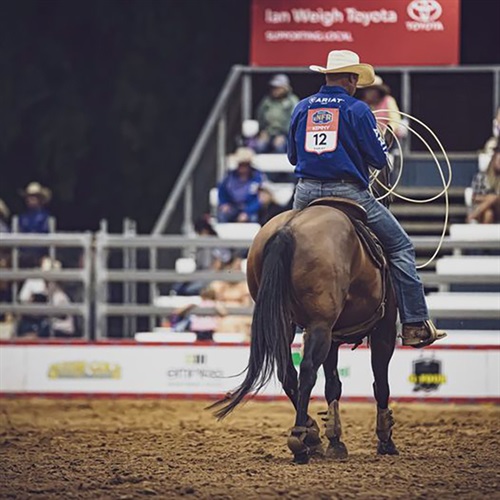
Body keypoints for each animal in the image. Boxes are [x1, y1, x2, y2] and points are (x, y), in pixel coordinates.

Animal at [210, 201, 398, 462]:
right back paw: (300, 440)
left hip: (289, 323)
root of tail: (287, 230)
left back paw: (311, 435)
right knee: (308, 370)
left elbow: (333, 385)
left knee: (288, 373)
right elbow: (380, 383)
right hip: (320, 325)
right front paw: (385, 439)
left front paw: (335, 440)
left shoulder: (334, 337)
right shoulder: (384, 330)